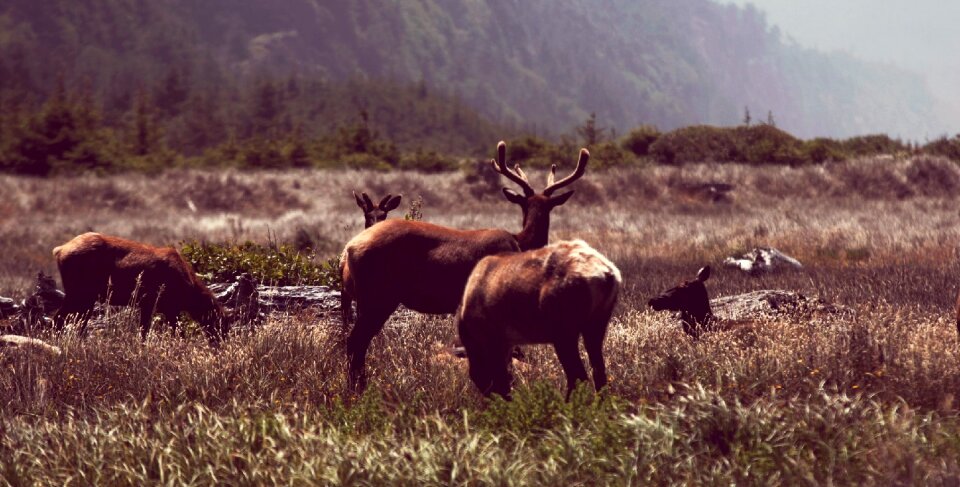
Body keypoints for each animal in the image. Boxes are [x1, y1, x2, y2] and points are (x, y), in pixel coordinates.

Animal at [342, 142, 588, 392]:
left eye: (547, 205)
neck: (520, 242)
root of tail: (349, 249)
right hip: (378, 296)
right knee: (355, 342)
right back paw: (358, 390)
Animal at [458, 240, 624, 400]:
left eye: (478, 376)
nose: (491, 398)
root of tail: (606, 274)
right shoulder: (505, 344)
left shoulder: (493, 340)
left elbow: (502, 378)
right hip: (596, 325)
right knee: (598, 372)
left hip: (564, 334)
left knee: (577, 376)